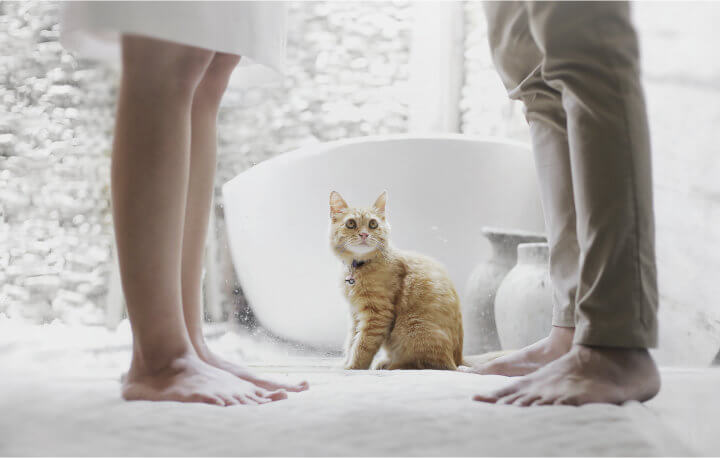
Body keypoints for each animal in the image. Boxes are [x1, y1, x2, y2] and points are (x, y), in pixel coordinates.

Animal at [330, 191, 464, 370]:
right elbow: (351, 341)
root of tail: (458, 360)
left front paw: (352, 367)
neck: (358, 267)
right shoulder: (355, 313)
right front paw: (345, 362)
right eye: (351, 224)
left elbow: (362, 345)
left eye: (373, 224)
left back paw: (389, 365)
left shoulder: (377, 315)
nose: (364, 234)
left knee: (418, 363)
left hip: (413, 329)